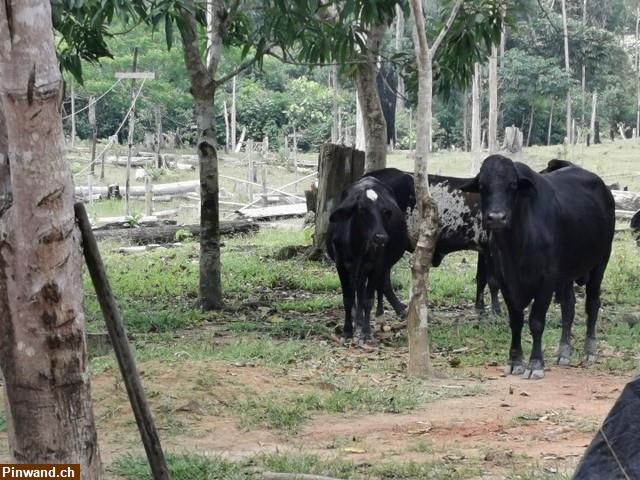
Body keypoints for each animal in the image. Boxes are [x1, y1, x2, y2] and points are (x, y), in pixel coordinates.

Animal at [324, 175, 410, 342]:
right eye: (362, 210)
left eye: (384, 211)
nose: (380, 237)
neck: (358, 245)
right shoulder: (341, 266)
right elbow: (348, 299)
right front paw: (347, 330)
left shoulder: (377, 266)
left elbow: (368, 300)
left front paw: (365, 332)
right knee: (360, 288)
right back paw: (357, 319)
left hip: (383, 265)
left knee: (382, 285)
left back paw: (379, 316)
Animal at [460, 156, 616, 380]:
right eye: (482, 185)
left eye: (512, 185)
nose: (496, 218)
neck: (516, 243)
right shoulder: (506, 280)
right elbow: (516, 320)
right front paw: (515, 361)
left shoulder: (546, 280)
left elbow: (536, 322)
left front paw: (535, 364)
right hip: (566, 275)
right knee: (568, 307)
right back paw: (563, 352)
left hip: (600, 264)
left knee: (592, 305)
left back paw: (589, 351)